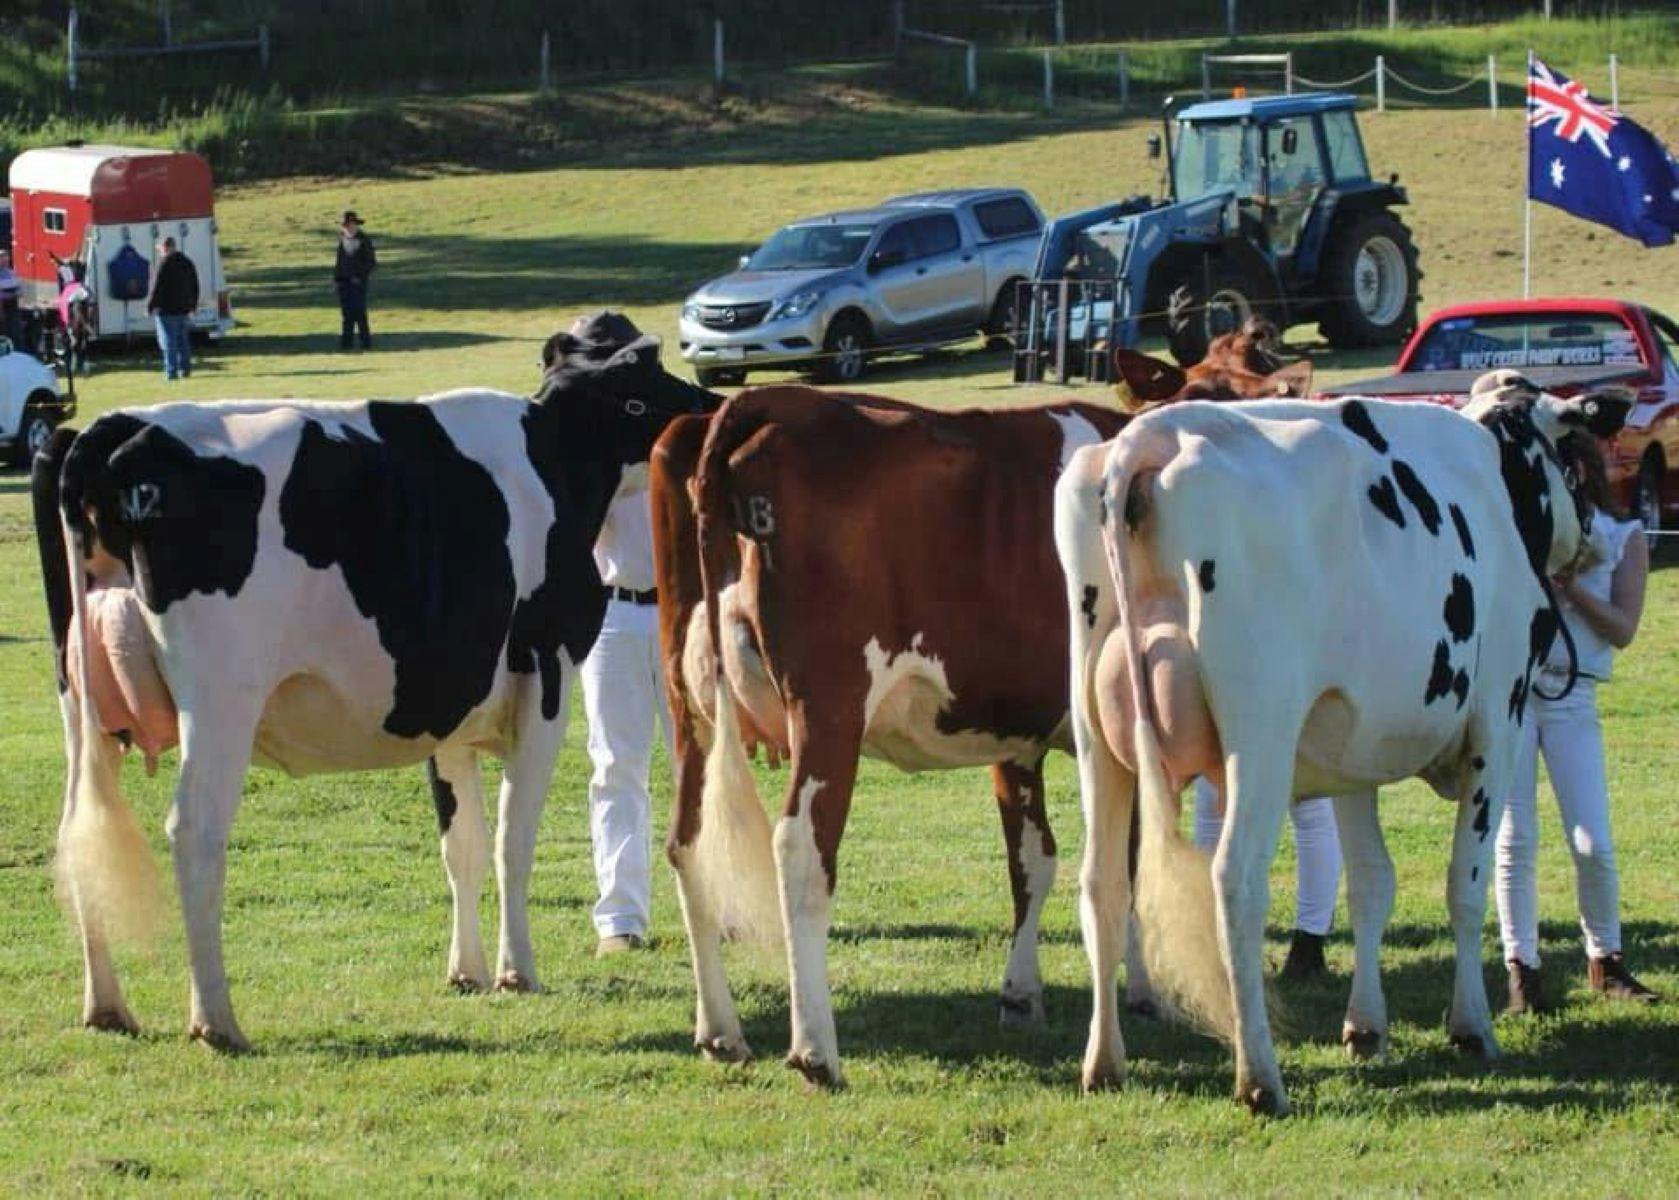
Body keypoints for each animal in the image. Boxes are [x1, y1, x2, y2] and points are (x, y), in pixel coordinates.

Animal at [32, 321, 715, 1051]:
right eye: (650, 385)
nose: (711, 409)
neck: (557, 460)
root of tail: (110, 428)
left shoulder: (450, 702)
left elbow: (463, 844)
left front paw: (467, 971)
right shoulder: (547, 672)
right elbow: (512, 839)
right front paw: (517, 972)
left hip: (80, 701)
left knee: (79, 827)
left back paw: (107, 1007)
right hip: (220, 700)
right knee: (194, 831)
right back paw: (216, 1020)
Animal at [1053, 370, 1629, 1114]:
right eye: (1577, 460)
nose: (1592, 541)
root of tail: (1151, 434)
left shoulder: (1353, 747)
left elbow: (1371, 883)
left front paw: (1365, 1027)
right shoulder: (1498, 725)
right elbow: (1465, 885)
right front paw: (1470, 1026)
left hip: (1097, 736)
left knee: (1100, 882)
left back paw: (1103, 1063)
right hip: (1259, 736)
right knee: (1233, 881)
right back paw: (1260, 1080)